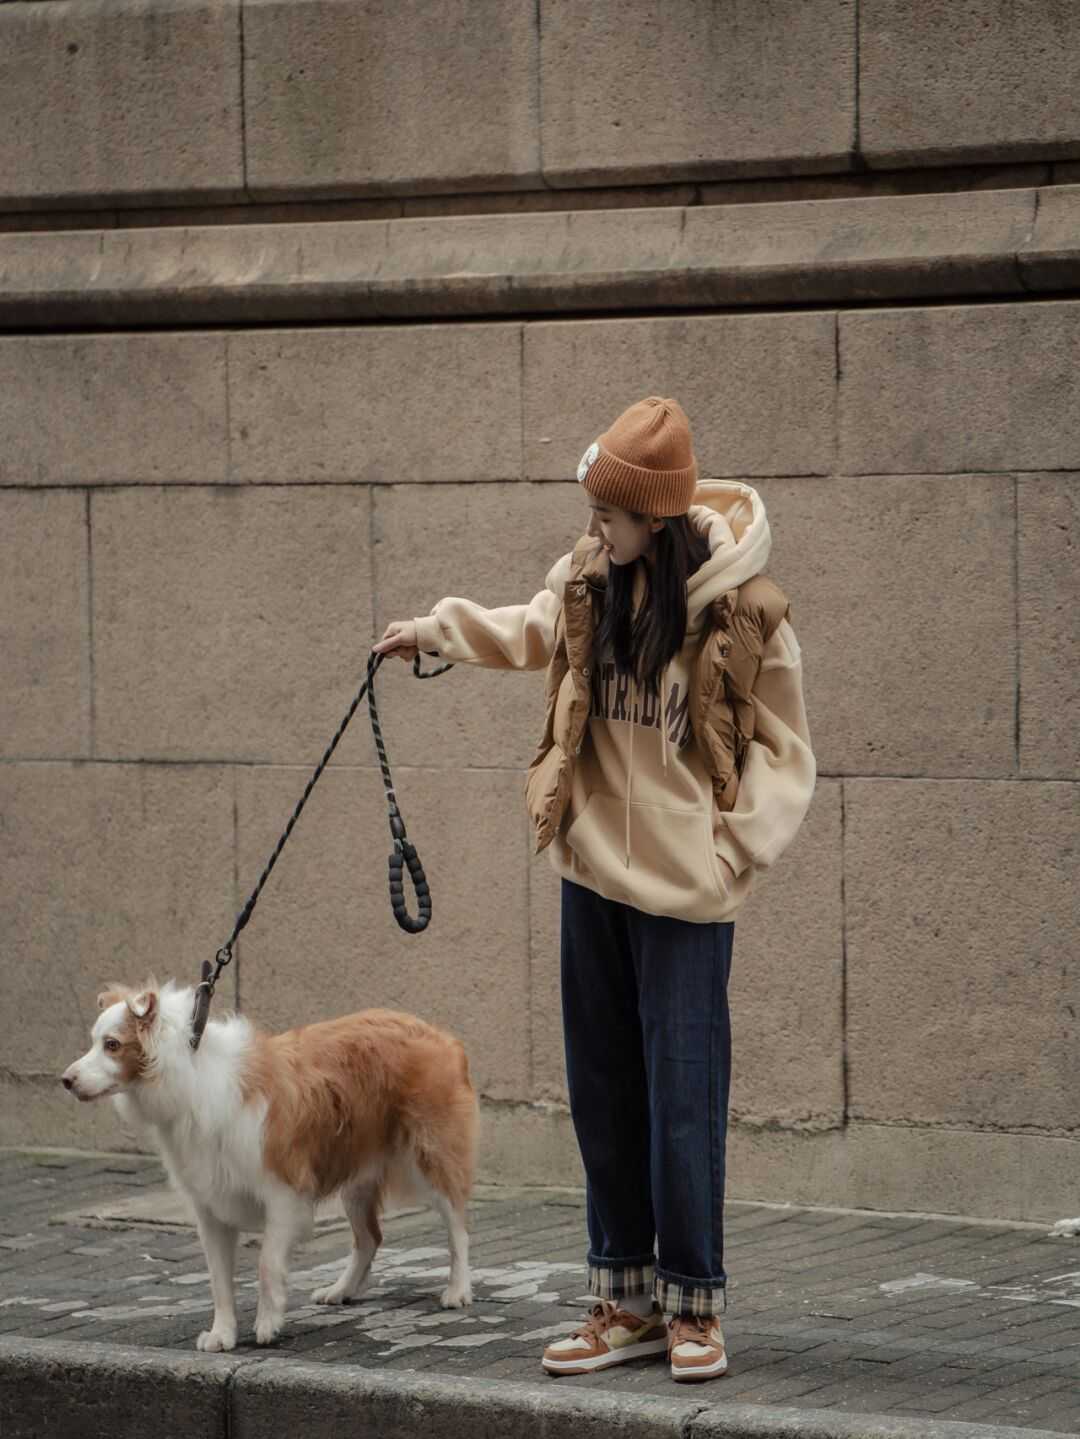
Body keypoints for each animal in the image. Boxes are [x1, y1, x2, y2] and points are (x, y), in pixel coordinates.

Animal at [61, 978, 474, 1346]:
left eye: (112, 1045)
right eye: (95, 1041)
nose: (65, 1080)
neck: (191, 1075)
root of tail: (436, 1032)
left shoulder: (283, 1193)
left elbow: (265, 1264)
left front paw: (267, 1325)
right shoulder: (210, 1205)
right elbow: (218, 1279)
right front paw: (222, 1335)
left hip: (431, 1157)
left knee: (457, 1226)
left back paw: (458, 1290)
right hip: (356, 1177)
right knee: (370, 1238)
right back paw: (340, 1289)